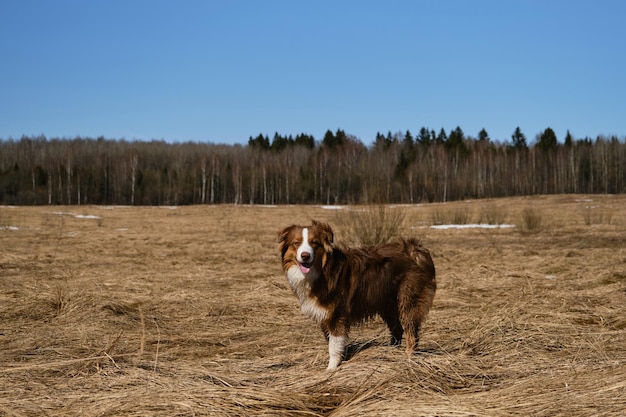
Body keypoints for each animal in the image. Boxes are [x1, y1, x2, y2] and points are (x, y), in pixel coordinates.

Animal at [276, 219, 434, 368]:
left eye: (314, 243)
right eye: (296, 243)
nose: (305, 256)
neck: (322, 271)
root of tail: (416, 249)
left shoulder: (337, 315)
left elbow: (333, 347)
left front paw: (331, 369)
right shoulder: (324, 315)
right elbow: (332, 342)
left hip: (408, 301)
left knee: (411, 334)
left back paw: (408, 358)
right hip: (388, 305)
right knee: (397, 330)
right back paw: (389, 352)